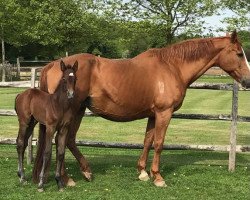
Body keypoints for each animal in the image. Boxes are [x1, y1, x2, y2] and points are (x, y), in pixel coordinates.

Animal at [15, 60, 77, 191]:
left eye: (75, 78)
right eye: (64, 79)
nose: (71, 94)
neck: (60, 105)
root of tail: (20, 94)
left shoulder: (64, 129)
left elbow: (60, 153)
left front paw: (59, 183)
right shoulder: (50, 128)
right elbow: (47, 152)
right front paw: (41, 184)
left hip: (32, 123)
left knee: (22, 143)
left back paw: (21, 174)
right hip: (24, 122)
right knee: (20, 143)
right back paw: (22, 177)